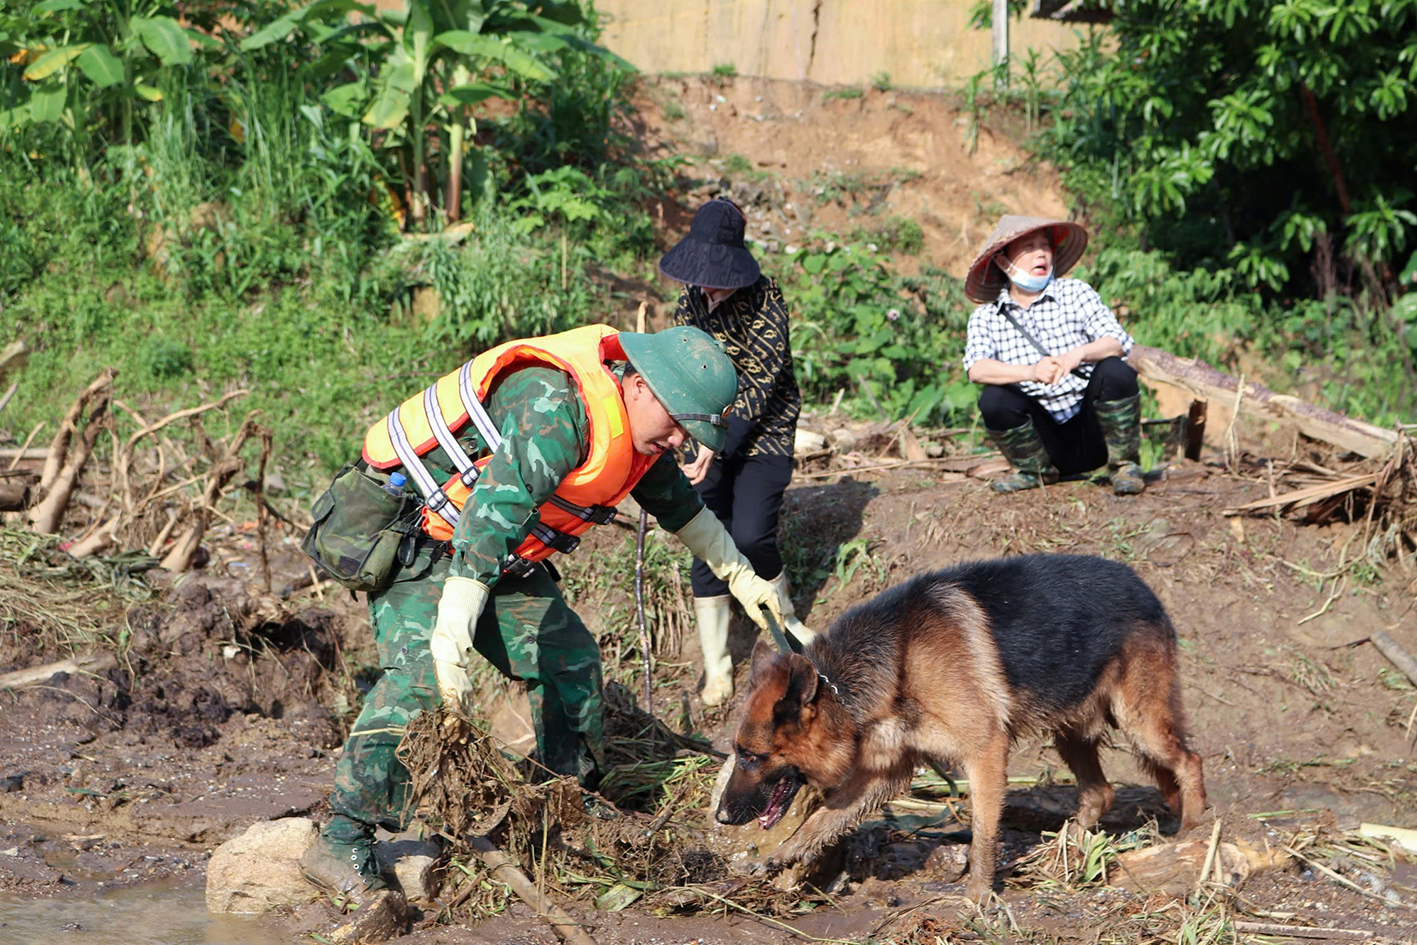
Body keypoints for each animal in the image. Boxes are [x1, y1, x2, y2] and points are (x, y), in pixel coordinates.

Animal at [719, 555, 1207, 901]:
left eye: (751, 756)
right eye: (739, 752)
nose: (722, 817)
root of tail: (1143, 585)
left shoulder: (986, 751)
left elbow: (984, 832)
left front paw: (977, 893)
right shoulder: (885, 774)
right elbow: (822, 819)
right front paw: (780, 855)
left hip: (1140, 723)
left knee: (1190, 760)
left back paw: (1192, 833)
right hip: (1069, 728)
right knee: (1099, 792)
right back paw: (1061, 852)